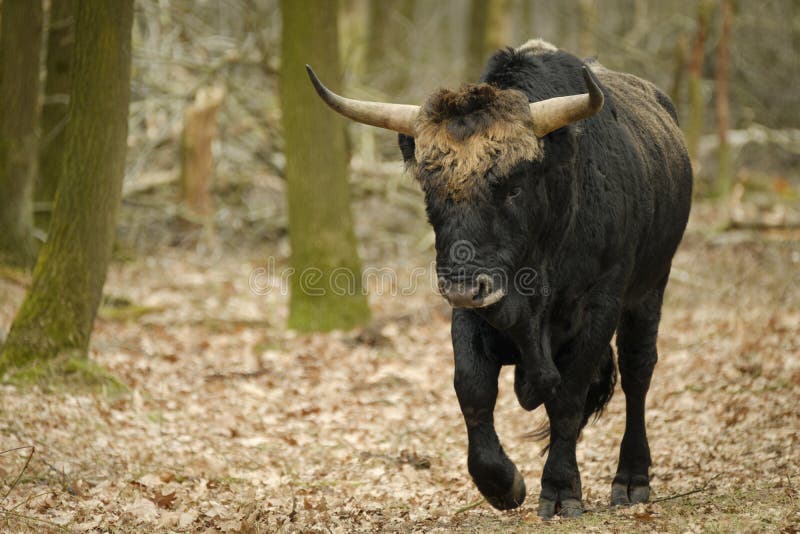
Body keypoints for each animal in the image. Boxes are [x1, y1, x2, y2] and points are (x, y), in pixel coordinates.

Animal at [306, 38, 692, 518]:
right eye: (430, 191)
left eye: (513, 187)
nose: (461, 285)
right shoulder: (473, 310)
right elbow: (472, 389)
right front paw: (501, 482)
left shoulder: (600, 305)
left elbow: (569, 397)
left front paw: (561, 488)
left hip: (651, 287)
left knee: (639, 373)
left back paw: (632, 478)